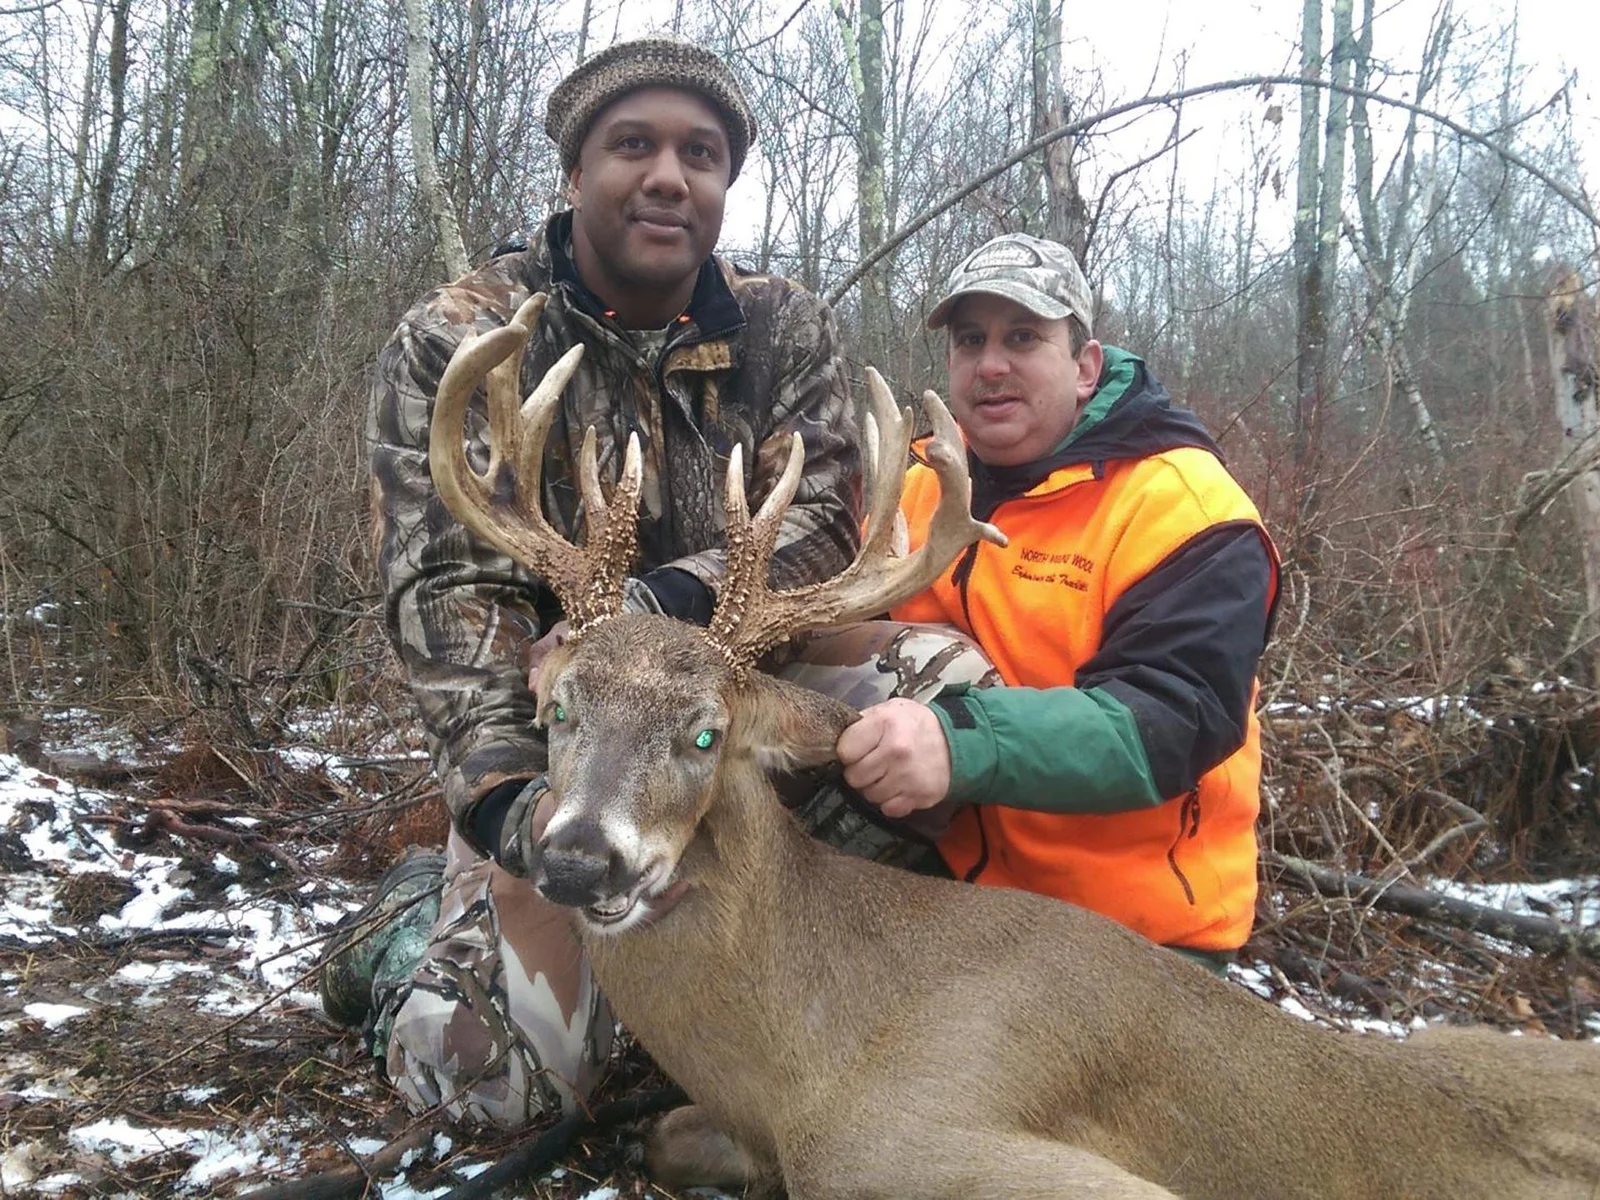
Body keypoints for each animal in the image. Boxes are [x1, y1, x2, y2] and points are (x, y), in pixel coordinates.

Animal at [428, 292, 1600, 1200]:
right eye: (562, 710)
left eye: (706, 732)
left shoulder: (903, 1141)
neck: (808, 1058)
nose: (580, 857)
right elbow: (664, 1135)